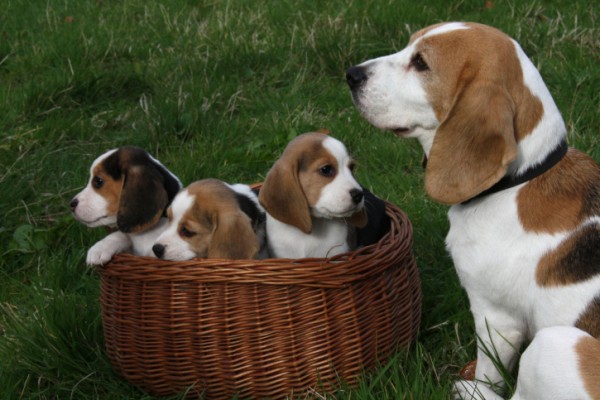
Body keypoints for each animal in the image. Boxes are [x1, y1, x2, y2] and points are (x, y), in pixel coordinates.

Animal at [346, 22, 600, 400]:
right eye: (408, 46)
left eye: (421, 63)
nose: (351, 75)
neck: (519, 178)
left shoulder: (496, 316)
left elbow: (488, 369)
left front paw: (476, 384)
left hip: (553, 344)